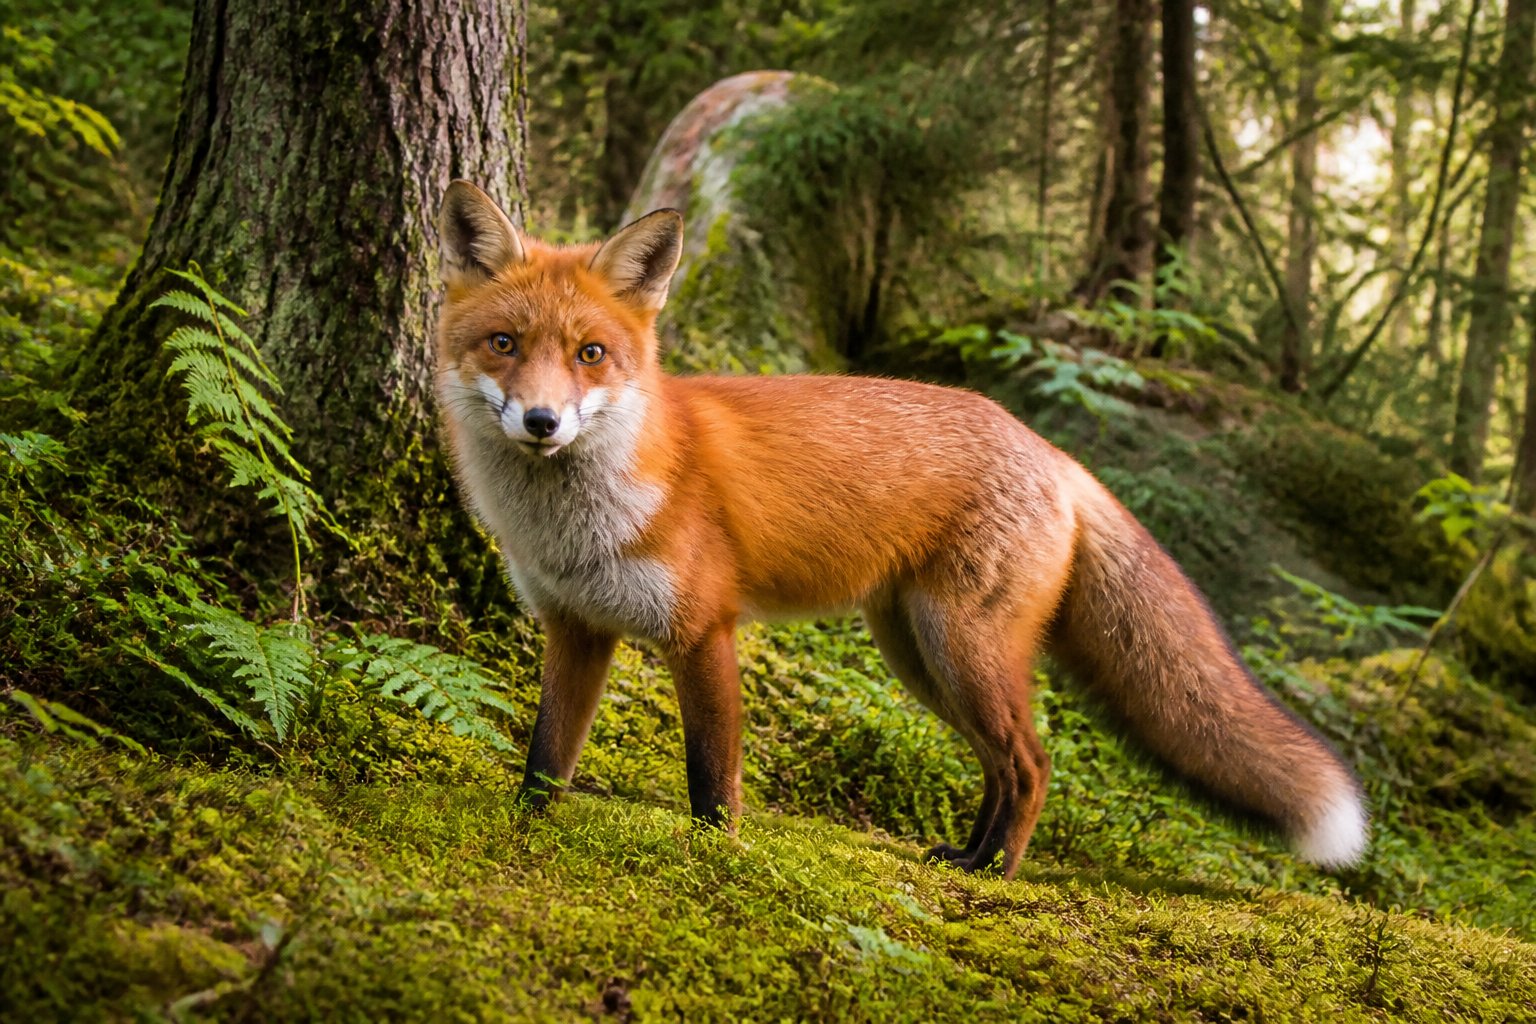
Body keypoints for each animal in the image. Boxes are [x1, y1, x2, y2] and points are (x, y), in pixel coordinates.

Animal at [432, 179, 1369, 879]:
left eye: (590, 354)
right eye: (505, 343)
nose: (543, 422)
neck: (580, 519)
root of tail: (1050, 451)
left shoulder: (703, 631)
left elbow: (711, 780)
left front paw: (715, 860)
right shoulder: (577, 627)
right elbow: (545, 756)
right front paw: (523, 828)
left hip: (961, 645)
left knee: (1033, 763)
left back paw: (996, 875)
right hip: (918, 653)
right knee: (1001, 763)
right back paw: (967, 853)